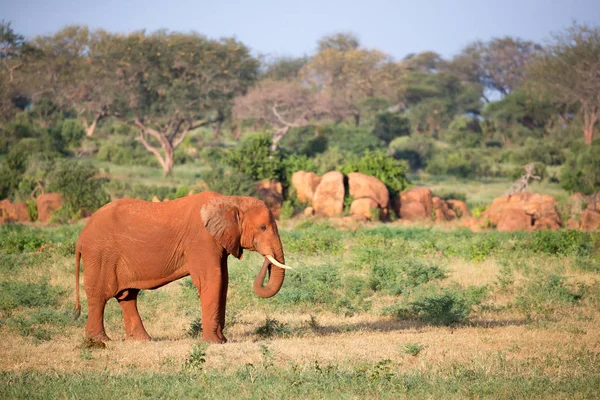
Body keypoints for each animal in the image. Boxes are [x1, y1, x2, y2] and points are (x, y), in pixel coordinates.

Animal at [72, 192, 292, 342]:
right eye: (262, 227)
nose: (266, 258)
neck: (231, 200)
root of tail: (81, 237)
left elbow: (223, 282)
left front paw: (222, 340)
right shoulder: (201, 240)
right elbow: (212, 280)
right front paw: (213, 342)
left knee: (127, 296)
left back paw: (143, 340)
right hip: (100, 255)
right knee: (100, 296)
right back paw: (100, 340)